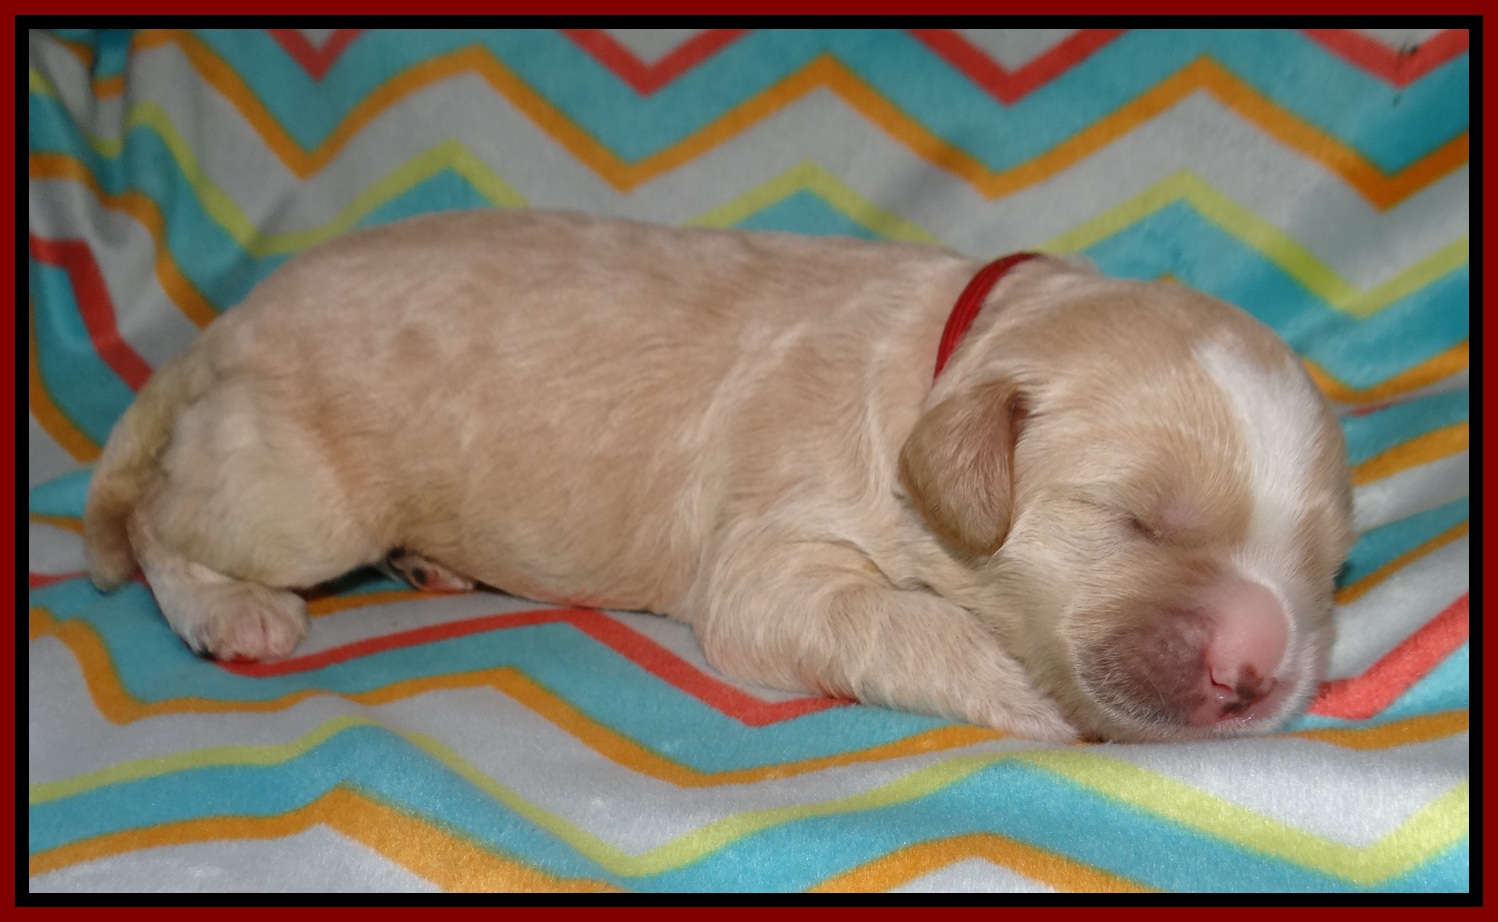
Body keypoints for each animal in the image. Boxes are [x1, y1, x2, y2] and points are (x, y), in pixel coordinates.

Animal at [82, 209, 1354, 744]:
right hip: (300, 492)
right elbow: (884, 616)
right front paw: (1023, 689)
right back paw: (230, 609)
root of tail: (226, 326)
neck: (946, 358)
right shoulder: (773, 555)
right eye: (1134, 519)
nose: (1258, 670)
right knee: (162, 520)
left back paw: (428, 563)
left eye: (1326, 569)